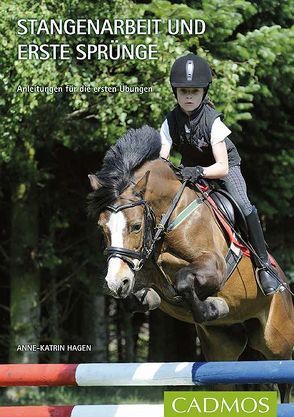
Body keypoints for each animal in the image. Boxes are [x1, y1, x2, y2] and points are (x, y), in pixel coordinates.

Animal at [88, 126, 294, 396]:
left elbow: (184, 280)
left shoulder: (214, 266)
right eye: (102, 228)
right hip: (223, 349)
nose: (115, 282)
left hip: (278, 341)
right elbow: (137, 296)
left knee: (284, 382)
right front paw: (147, 297)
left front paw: (214, 307)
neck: (166, 220)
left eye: (135, 226)